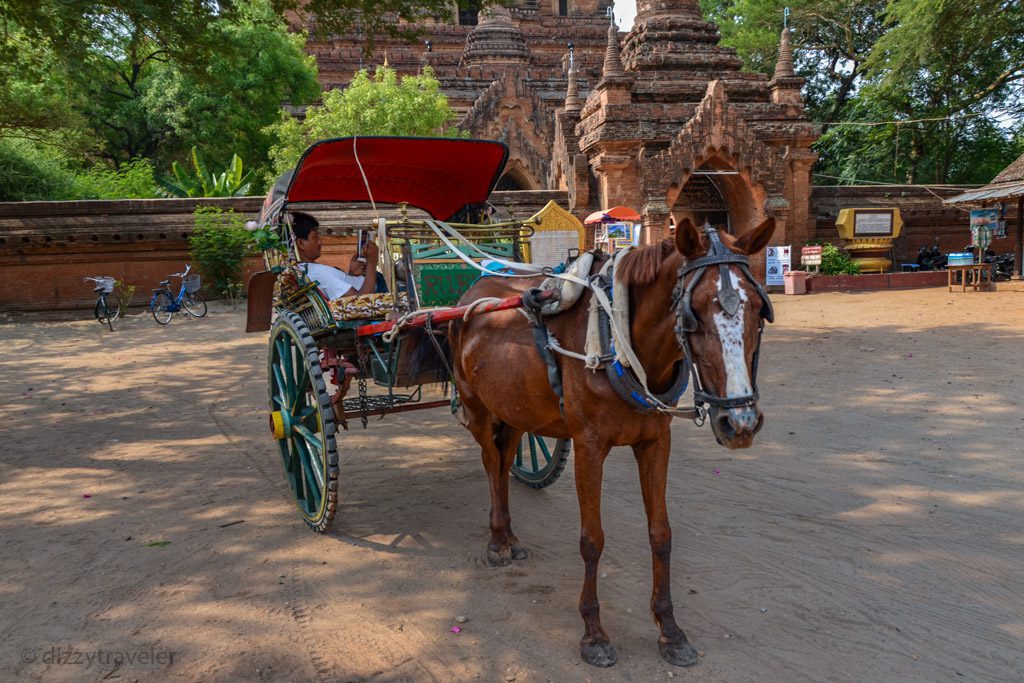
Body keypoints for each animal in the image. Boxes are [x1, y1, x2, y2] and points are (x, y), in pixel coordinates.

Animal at [448, 218, 774, 667]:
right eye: (692, 315)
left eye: (759, 311)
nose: (739, 422)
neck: (617, 342)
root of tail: (473, 295)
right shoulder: (589, 447)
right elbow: (592, 540)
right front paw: (594, 633)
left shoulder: (656, 442)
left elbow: (661, 534)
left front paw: (670, 630)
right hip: (477, 406)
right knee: (488, 461)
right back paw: (497, 539)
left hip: (514, 410)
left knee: (504, 459)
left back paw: (509, 536)